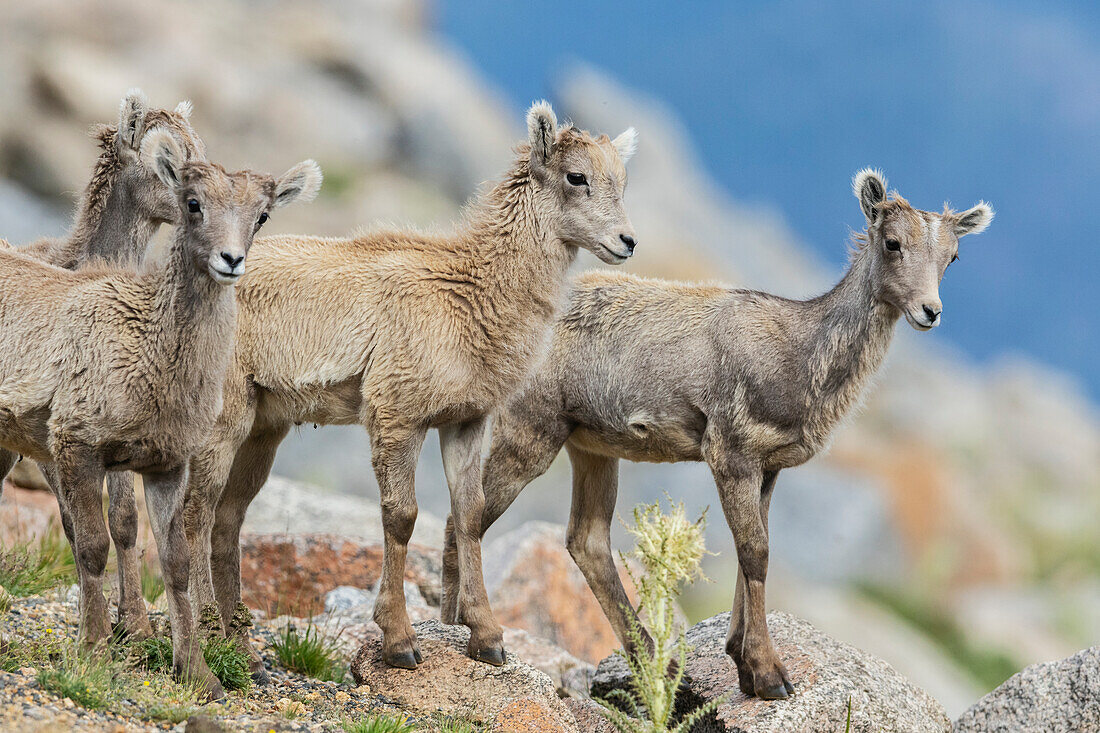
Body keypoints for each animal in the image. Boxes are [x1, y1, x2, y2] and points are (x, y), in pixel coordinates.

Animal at [184, 100, 642, 669]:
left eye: (622, 179)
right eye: (576, 177)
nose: (627, 242)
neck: (471, 294)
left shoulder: (464, 424)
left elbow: (468, 517)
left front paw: (488, 640)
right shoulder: (397, 417)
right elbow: (402, 517)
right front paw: (400, 642)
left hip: (265, 427)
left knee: (228, 519)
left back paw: (240, 645)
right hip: (225, 415)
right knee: (197, 510)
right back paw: (209, 633)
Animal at [446, 169, 998, 695]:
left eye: (952, 256)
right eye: (892, 243)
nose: (930, 311)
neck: (798, 356)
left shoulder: (768, 467)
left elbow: (754, 549)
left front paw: (743, 662)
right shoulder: (731, 452)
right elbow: (755, 553)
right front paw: (769, 675)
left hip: (592, 447)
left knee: (586, 540)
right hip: (533, 430)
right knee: (468, 514)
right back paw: (481, 639)